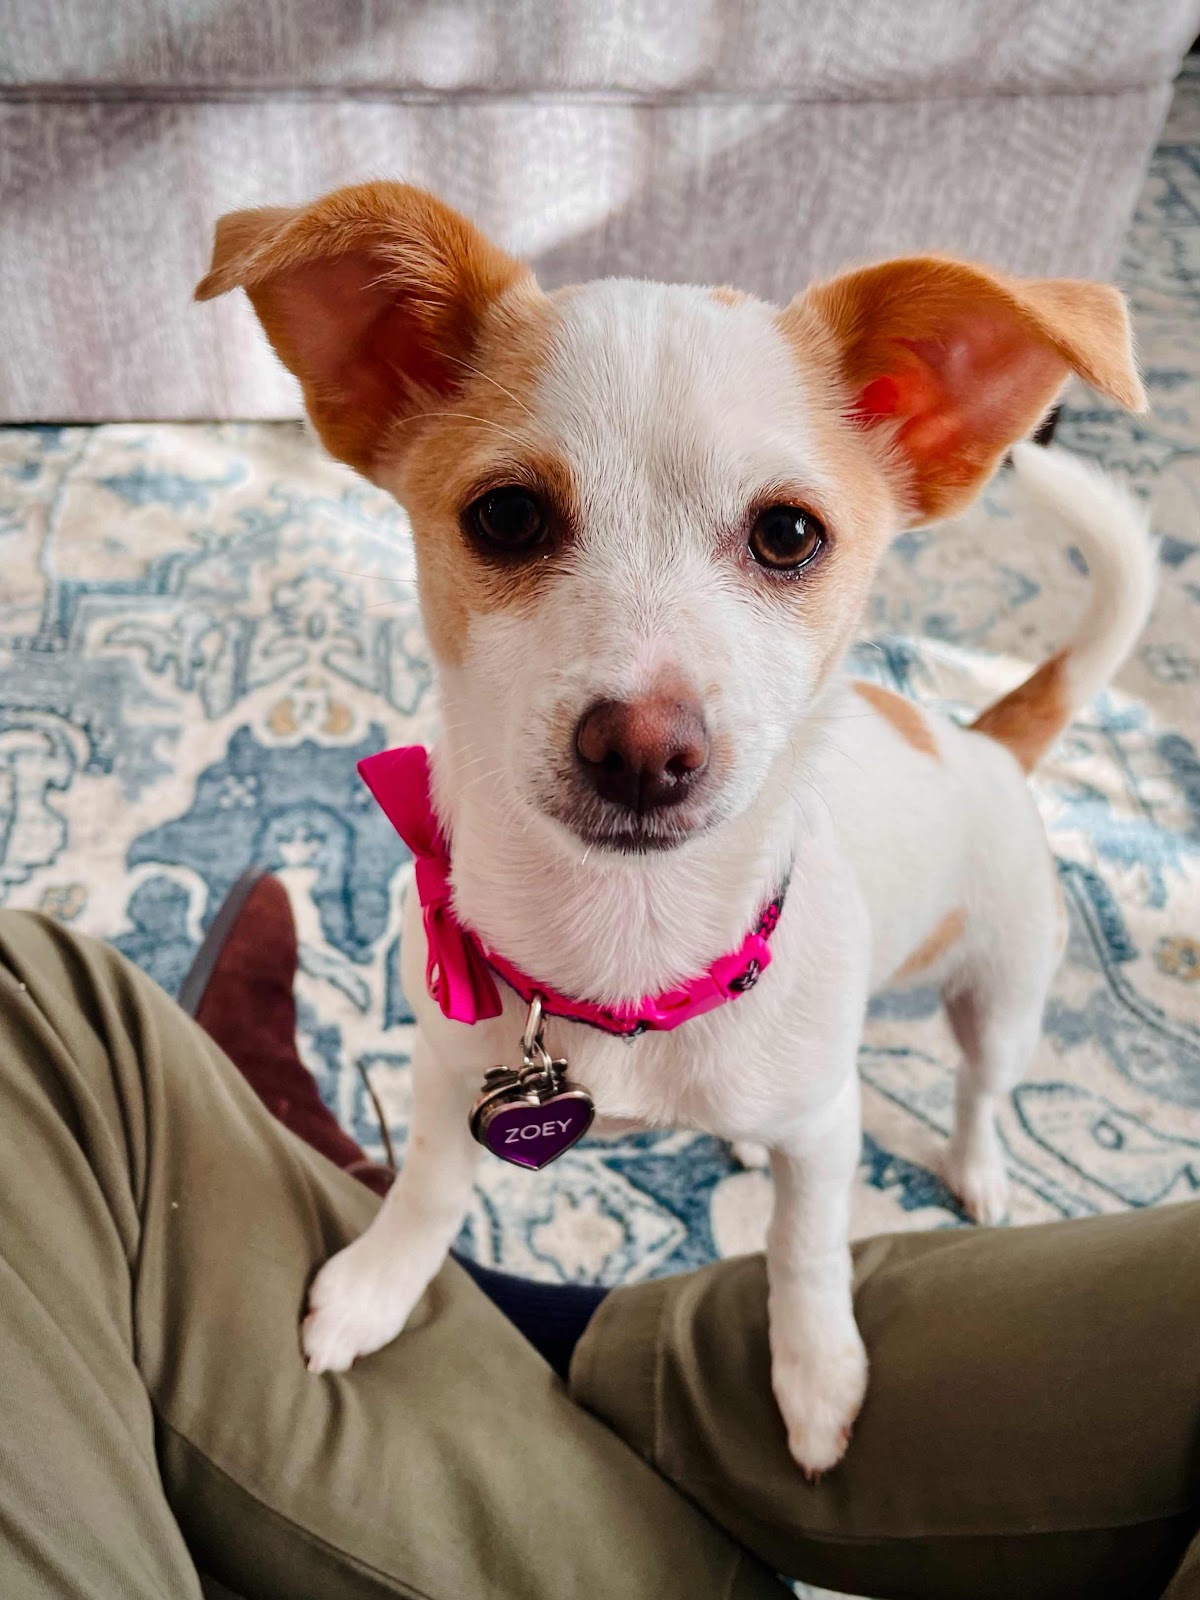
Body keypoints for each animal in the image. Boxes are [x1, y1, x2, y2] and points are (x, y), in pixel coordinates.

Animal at [197, 182, 1154, 1475]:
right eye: (506, 516)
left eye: (790, 535)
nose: (643, 749)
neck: (628, 955)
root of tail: (987, 738)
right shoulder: (446, 1071)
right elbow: (433, 1187)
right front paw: (380, 1284)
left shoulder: (827, 1134)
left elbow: (806, 1247)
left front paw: (815, 1373)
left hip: (1003, 992)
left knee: (979, 1088)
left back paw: (977, 1167)